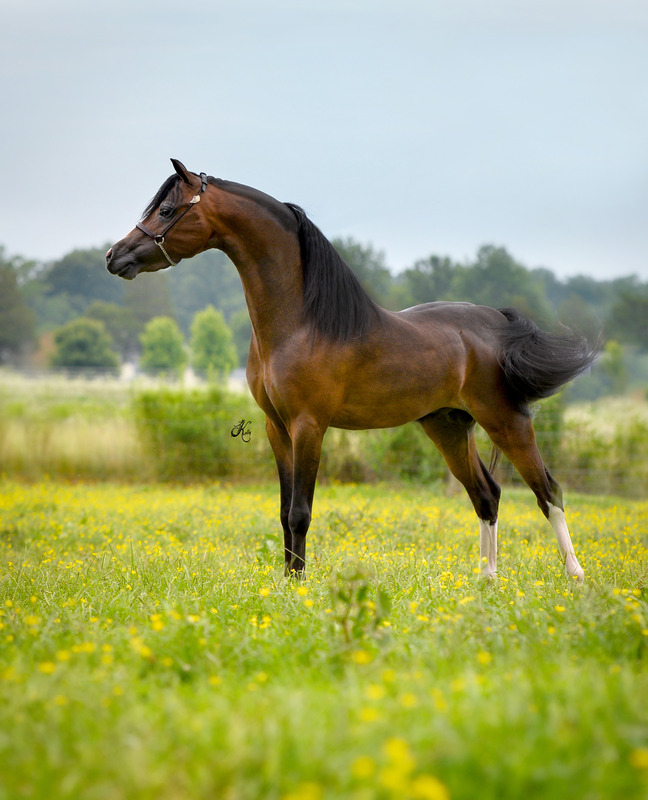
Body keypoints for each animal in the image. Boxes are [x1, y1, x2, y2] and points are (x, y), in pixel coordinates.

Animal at [105, 159, 596, 580]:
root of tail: (498, 323)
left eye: (166, 210)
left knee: (548, 491)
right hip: (448, 426)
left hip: (506, 421)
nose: (114, 256)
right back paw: (487, 580)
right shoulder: (276, 428)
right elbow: (283, 511)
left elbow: (300, 511)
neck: (299, 322)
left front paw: (299, 585)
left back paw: (575, 577)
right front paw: (286, 581)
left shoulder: (308, 426)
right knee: (486, 494)